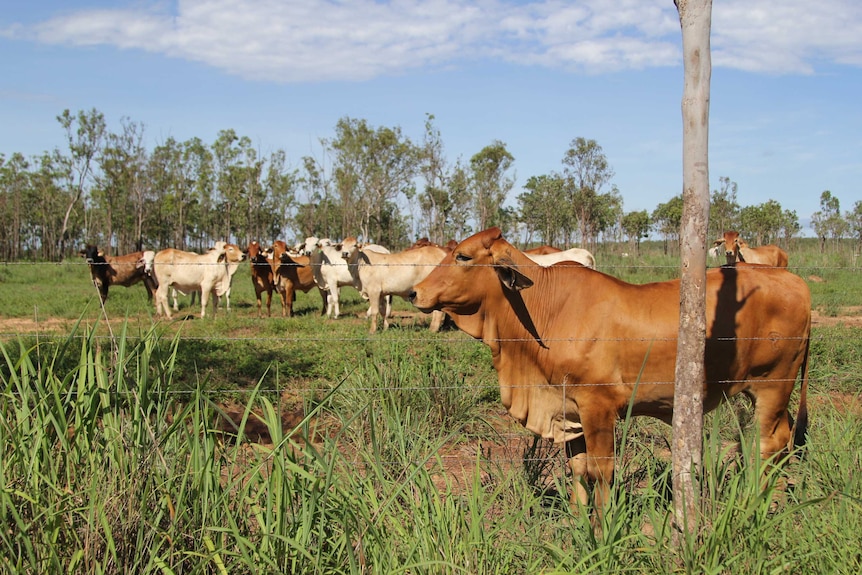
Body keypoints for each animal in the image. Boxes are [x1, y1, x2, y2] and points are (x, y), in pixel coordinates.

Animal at [408, 227, 812, 516]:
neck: (542, 309)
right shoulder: (569, 412)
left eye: (463, 256)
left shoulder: (598, 408)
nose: (414, 293)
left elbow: (601, 470)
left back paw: (763, 503)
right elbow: (576, 468)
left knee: (772, 443)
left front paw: (601, 530)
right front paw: (577, 522)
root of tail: (796, 282)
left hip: (773, 386)